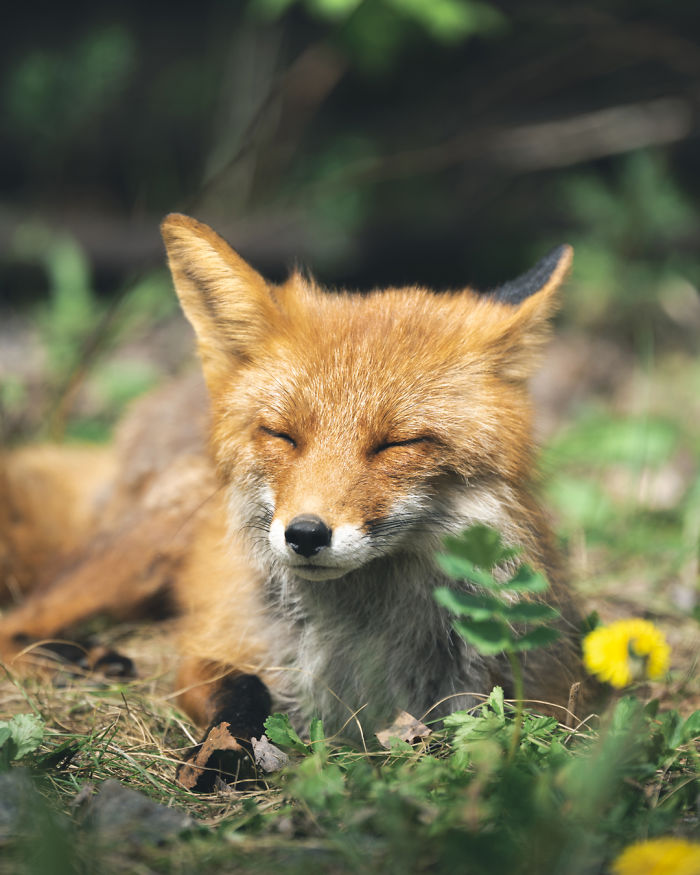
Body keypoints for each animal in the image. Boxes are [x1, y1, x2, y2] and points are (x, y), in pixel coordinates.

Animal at [0, 214, 589, 789]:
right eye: (282, 435)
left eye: (397, 443)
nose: (305, 534)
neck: (360, 639)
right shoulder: (209, 649)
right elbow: (243, 688)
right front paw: (223, 750)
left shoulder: (547, 691)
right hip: (144, 553)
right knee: (18, 621)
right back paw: (72, 660)